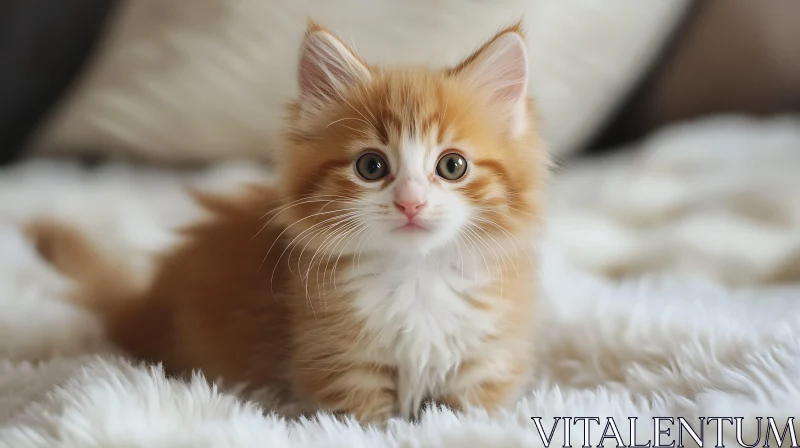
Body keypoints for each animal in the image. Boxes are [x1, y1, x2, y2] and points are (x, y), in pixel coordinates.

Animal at [26, 18, 552, 424]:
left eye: (452, 166)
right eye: (371, 166)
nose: (411, 204)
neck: (416, 276)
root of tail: (141, 302)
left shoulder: (485, 364)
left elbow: (466, 414)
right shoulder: (340, 366)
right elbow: (370, 423)